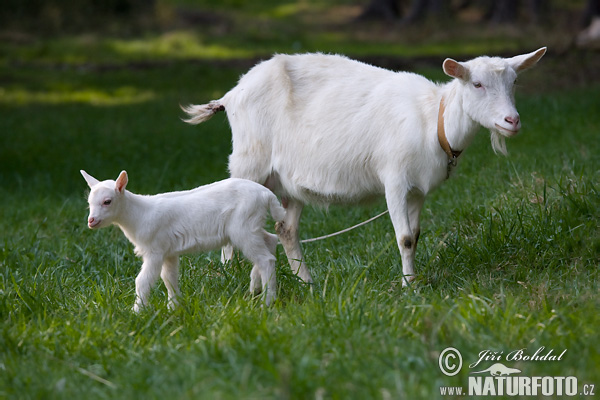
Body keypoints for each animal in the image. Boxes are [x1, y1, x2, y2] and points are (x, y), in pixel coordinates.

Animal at [183, 48, 548, 288]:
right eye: (477, 84)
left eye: (514, 82)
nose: (512, 121)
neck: (433, 120)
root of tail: (231, 95)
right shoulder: (395, 179)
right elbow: (404, 238)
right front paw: (409, 288)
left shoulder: (418, 190)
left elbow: (416, 235)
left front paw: (414, 280)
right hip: (249, 161)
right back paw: (229, 275)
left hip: (289, 182)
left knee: (287, 230)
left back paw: (307, 283)